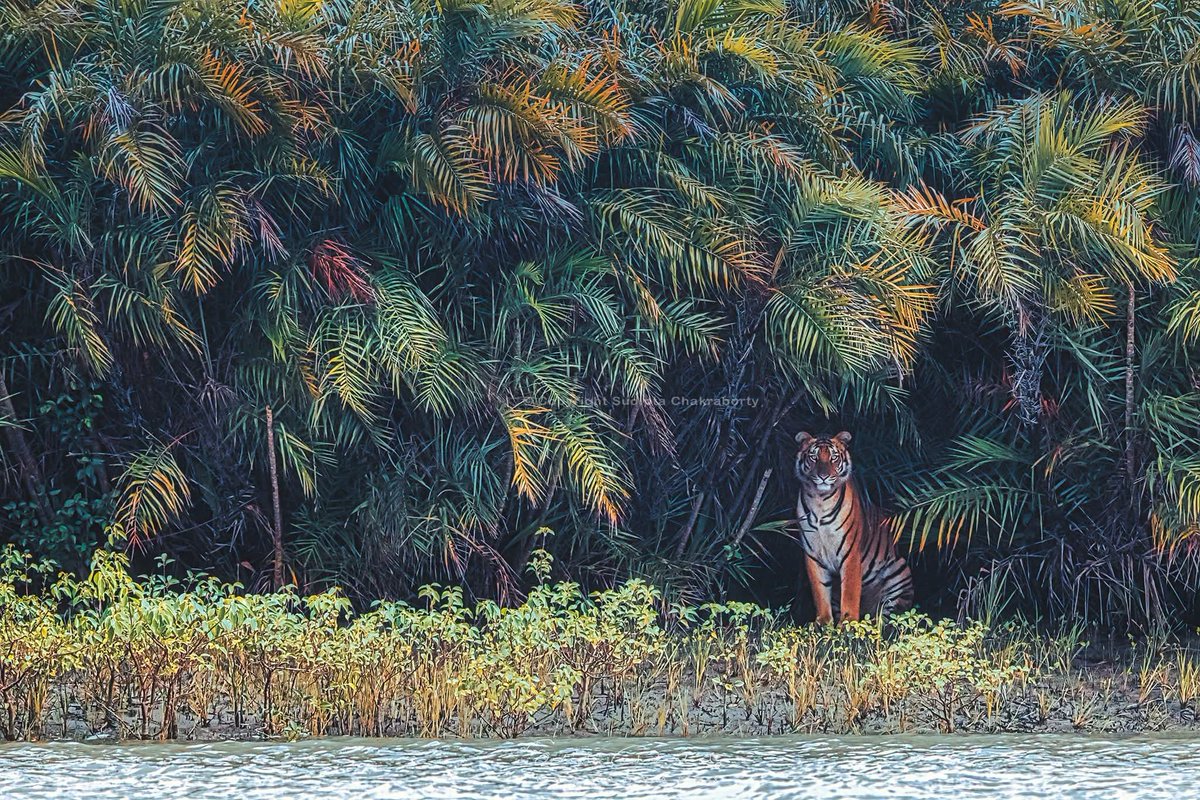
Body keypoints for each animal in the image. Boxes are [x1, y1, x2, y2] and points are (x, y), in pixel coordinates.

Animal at [794, 431, 913, 624]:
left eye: (834, 458)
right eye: (814, 457)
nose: (823, 476)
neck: (820, 500)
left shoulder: (850, 553)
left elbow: (850, 592)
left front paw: (848, 624)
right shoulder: (813, 554)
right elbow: (820, 591)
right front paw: (823, 623)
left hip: (899, 571)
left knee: (891, 618)